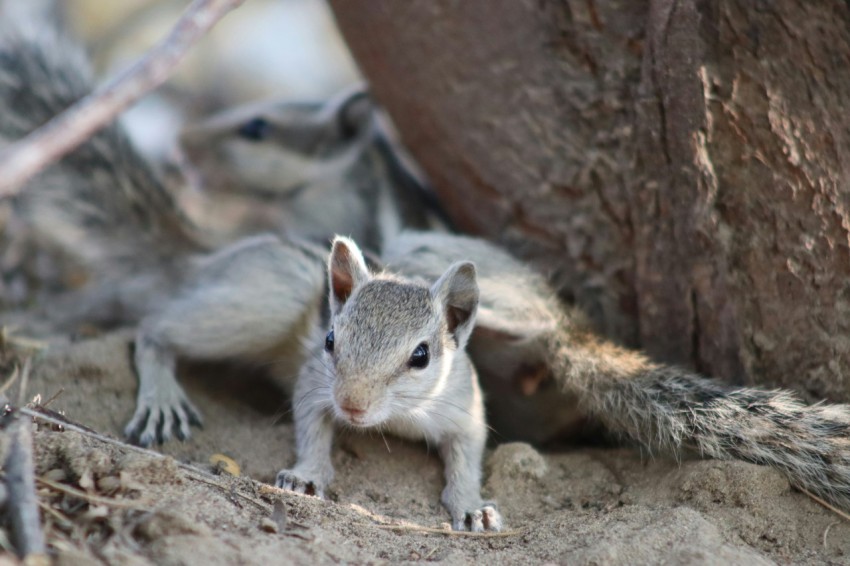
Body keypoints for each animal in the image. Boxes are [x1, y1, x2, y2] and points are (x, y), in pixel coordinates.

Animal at [4, 4, 848, 532]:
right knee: (155, 325)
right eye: (332, 343)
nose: (182, 151)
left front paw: (471, 504)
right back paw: (161, 392)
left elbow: (468, 454)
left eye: (421, 357)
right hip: (257, 295)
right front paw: (311, 469)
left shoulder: (463, 405)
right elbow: (307, 418)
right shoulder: (315, 370)